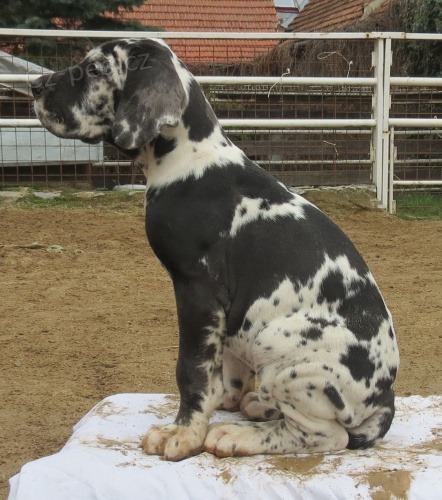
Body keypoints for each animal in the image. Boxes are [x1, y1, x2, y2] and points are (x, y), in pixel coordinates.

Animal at [32, 38, 399, 461]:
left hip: (278, 341)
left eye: (93, 70)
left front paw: (183, 432)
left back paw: (241, 436)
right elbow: (226, 369)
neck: (189, 159)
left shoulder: (197, 290)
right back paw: (261, 407)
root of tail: (385, 401)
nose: (34, 86)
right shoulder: (229, 312)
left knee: (327, 435)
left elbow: (191, 371)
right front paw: (223, 401)